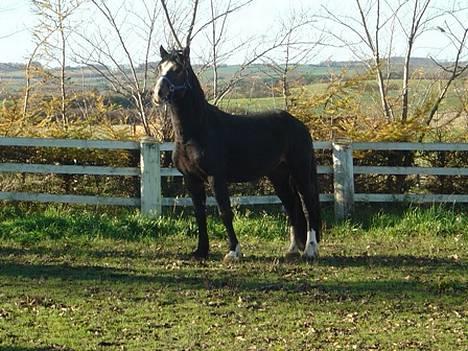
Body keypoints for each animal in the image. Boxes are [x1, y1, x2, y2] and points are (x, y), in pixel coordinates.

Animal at [154, 46, 322, 262]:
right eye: (160, 68)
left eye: (178, 70)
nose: (158, 93)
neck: (197, 131)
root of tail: (299, 125)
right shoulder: (192, 179)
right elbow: (199, 214)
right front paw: (201, 251)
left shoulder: (216, 177)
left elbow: (224, 212)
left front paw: (233, 251)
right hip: (279, 176)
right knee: (291, 206)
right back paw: (292, 249)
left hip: (300, 173)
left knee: (309, 207)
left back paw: (310, 249)